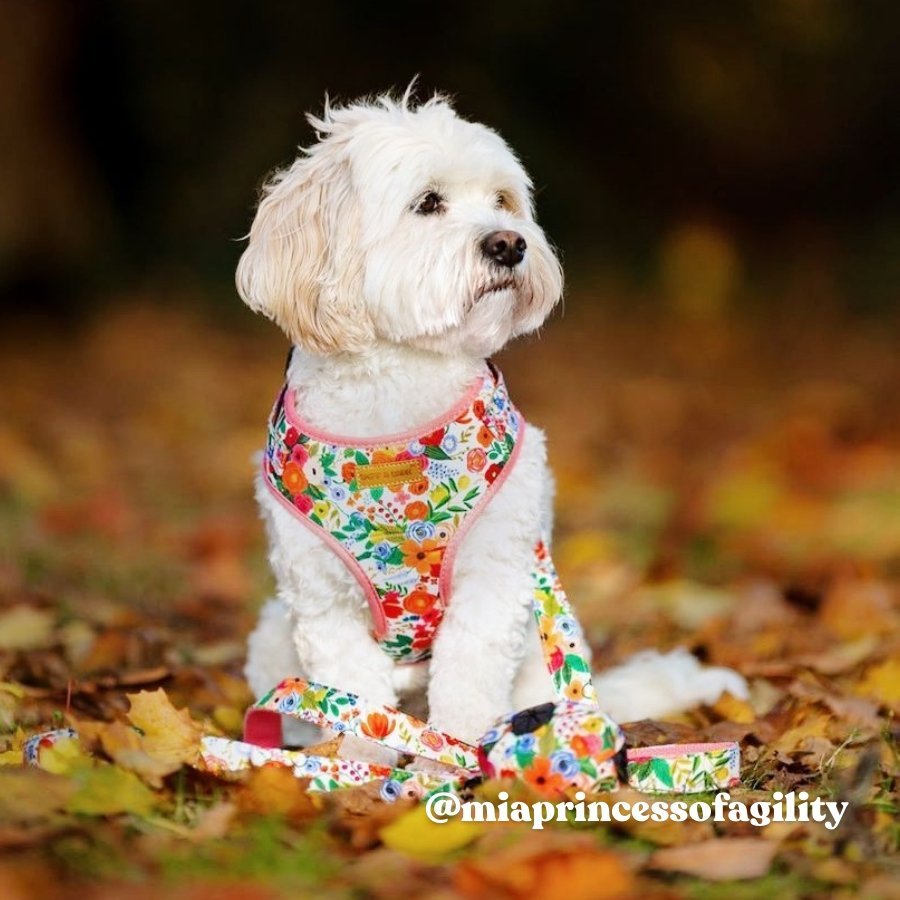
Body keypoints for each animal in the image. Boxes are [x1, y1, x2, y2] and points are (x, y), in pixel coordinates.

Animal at [237, 88, 744, 748]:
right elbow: (351, 697)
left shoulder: (495, 580)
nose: (510, 243)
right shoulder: (322, 601)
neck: (397, 395)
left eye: (502, 200)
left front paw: (449, 757)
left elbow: (468, 685)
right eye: (428, 202)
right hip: (274, 635)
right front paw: (361, 759)